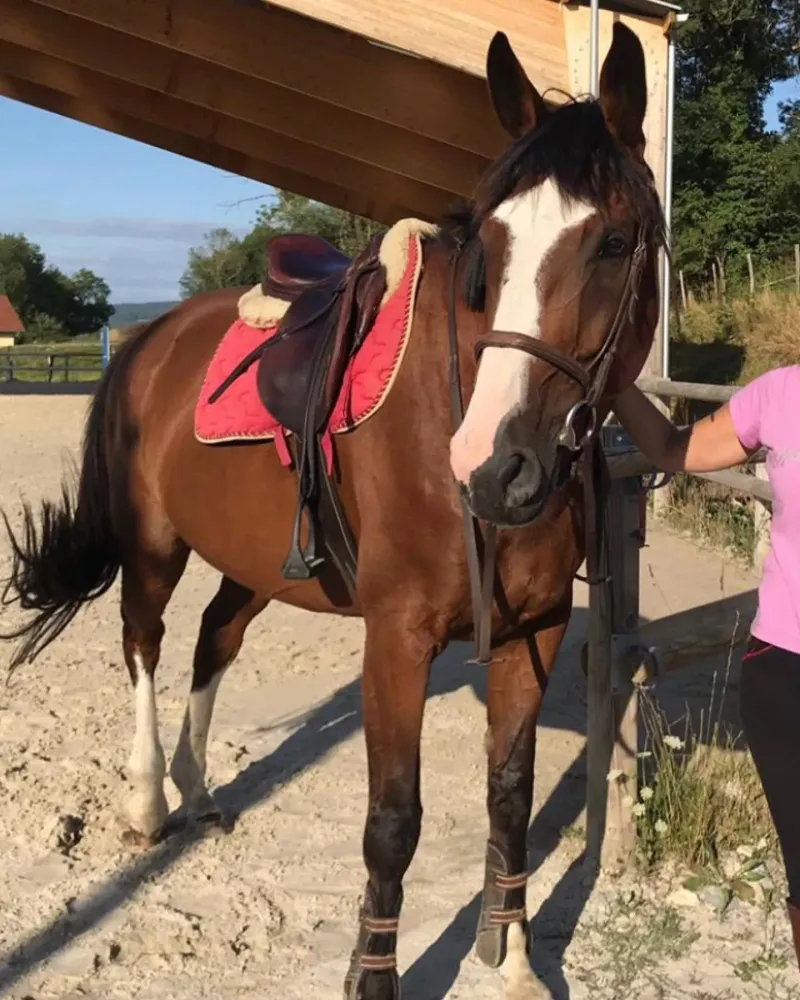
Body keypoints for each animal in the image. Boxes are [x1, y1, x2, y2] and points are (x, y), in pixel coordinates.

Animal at [1, 23, 663, 1000]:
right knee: (144, 643)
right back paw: (148, 800)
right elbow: (392, 821)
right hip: (155, 547)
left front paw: (511, 960)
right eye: (488, 247)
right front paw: (375, 976)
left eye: (615, 241)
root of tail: (151, 336)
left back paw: (201, 793)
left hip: (251, 561)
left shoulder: (533, 630)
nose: (495, 469)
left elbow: (509, 791)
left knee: (213, 640)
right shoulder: (396, 636)